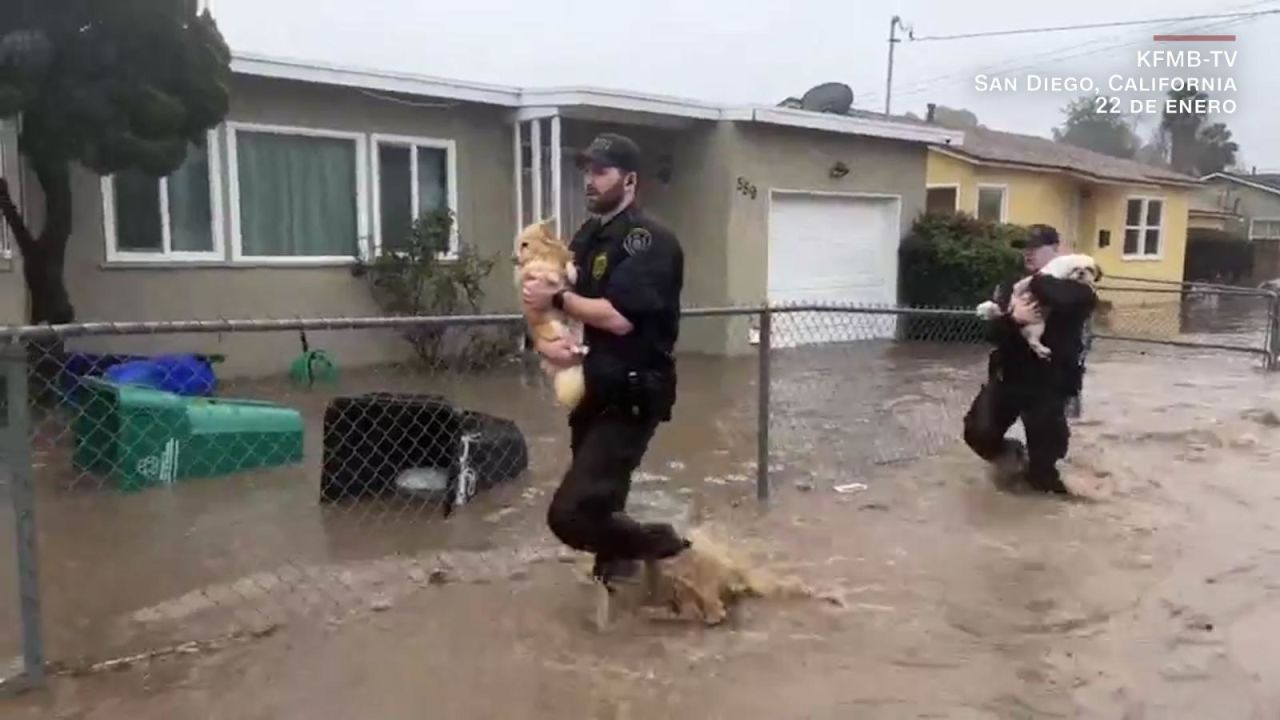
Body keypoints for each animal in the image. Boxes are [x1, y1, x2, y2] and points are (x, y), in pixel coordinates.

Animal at [519, 131, 691, 586]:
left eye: (524, 242)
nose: (514, 257)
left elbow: (564, 272)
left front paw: (561, 278)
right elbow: (541, 279)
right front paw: (545, 283)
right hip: (559, 342)